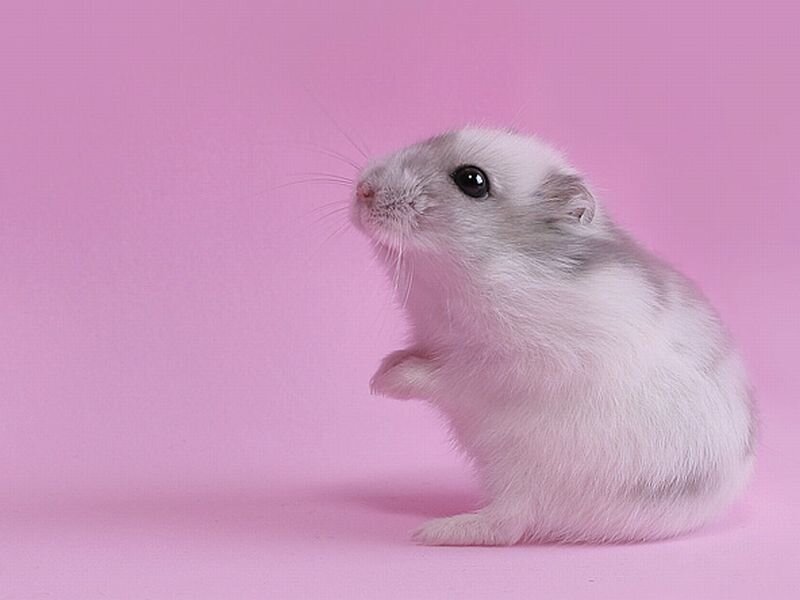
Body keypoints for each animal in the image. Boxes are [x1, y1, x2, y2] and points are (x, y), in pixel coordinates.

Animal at [350, 127, 755, 545]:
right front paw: (379, 371)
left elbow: (445, 376)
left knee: (508, 524)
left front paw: (383, 383)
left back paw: (432, 532)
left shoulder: (506, 367)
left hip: (528, 477)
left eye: (472, 180)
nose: (362, 189)